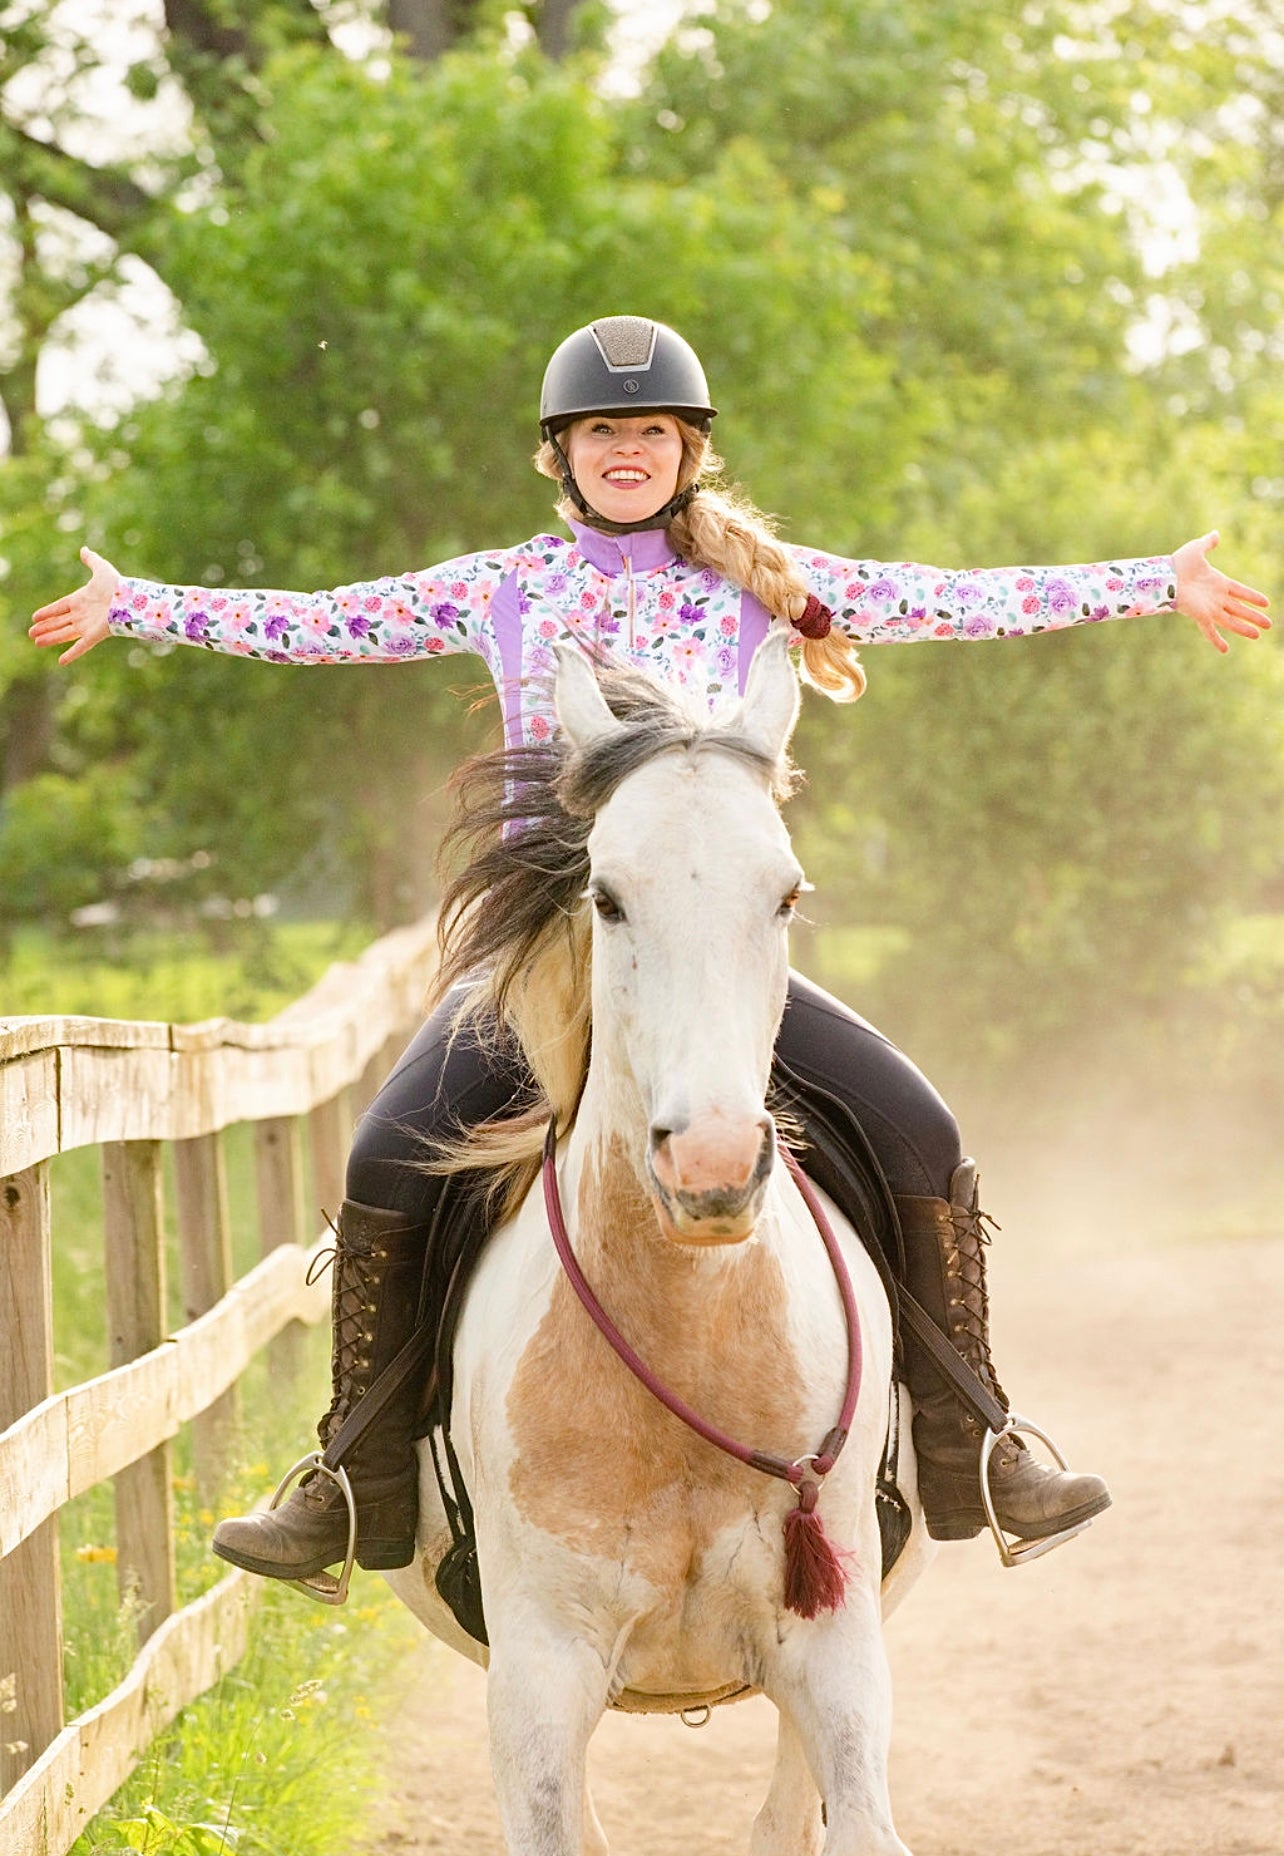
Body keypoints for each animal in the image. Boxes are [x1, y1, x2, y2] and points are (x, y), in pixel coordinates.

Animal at [383, 632, 934, 1855]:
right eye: (607, 896)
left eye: (785, 892)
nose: (714, 1162)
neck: (687, 1335)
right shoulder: (538, 1678)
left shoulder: (834, 1644)